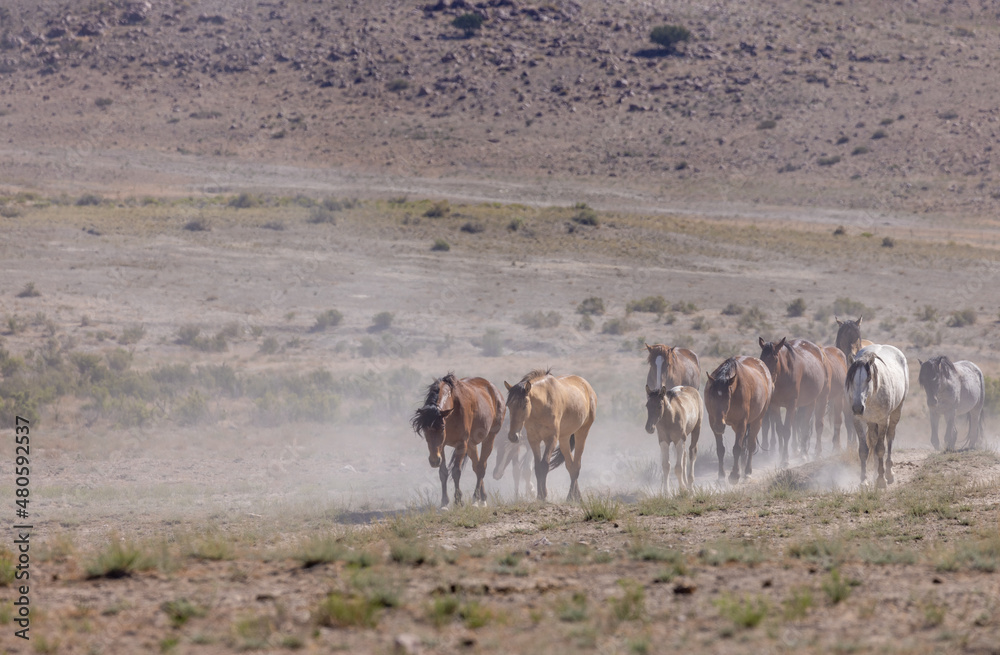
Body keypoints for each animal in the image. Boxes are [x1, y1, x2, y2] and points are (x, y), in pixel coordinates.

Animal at [410, 374, 505, 508]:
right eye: (424, 429)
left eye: (442, 427)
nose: (434, 461)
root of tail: (495, 390)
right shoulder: (442, 447)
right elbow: (443, 472)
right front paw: (444, 503)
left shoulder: (461, 444)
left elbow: (456, 472)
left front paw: (459, 501)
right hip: (471, 445)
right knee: (477, 467)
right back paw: (482, 498)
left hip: (489, 438)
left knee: (481, 467)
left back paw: (476, 500)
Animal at [504, 369, 597, 502]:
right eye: (508, 405)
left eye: (524, 404)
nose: (513, 436)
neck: (542, 405)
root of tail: (588, 387)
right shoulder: (534, 440)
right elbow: (538, 467)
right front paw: (539, 496)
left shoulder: (551, 439)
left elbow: (544, 465)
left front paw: (543, 495)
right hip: (564, 438)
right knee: (571, 465)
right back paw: (575, 496)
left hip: (582, 432)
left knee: (576, 465)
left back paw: (572, 497)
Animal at [758, 337, 830, 465]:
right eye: (761, 358)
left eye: (775, 359)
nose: (768, 382)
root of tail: (820, 353)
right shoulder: (775, 405)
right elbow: (780, 430)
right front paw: (782, 456)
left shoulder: (791, 405)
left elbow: (787, 430)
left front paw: (785, 459)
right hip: (810, 402)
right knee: (805, 426)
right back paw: (804, 453)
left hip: (822, 398)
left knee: (818, 425)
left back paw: (816, 453)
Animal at [846, 344, 909, 489]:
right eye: (851, 379)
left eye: (868, 378)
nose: (857, 407)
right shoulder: (858, 421)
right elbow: (864, 450)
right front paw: (864, 481)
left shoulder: (882, 420)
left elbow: (880, 449)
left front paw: (881, 480)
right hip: (870, 422)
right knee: (873, 442)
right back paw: (875, 473)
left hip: (896, 412)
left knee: (889, 438)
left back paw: (889, 474)